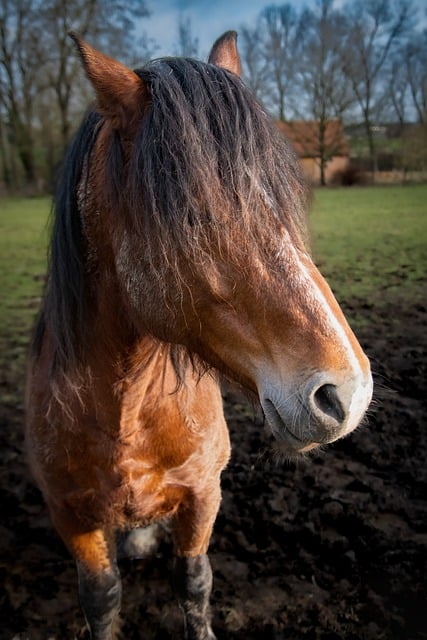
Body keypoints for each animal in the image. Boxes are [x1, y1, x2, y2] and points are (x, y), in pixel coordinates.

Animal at [26, 31, 372, 640]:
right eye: (191, 214)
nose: (347, 396)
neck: (126, 404)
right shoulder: (71, 515)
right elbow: (101, 597)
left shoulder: (204, 494)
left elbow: (194, 581)